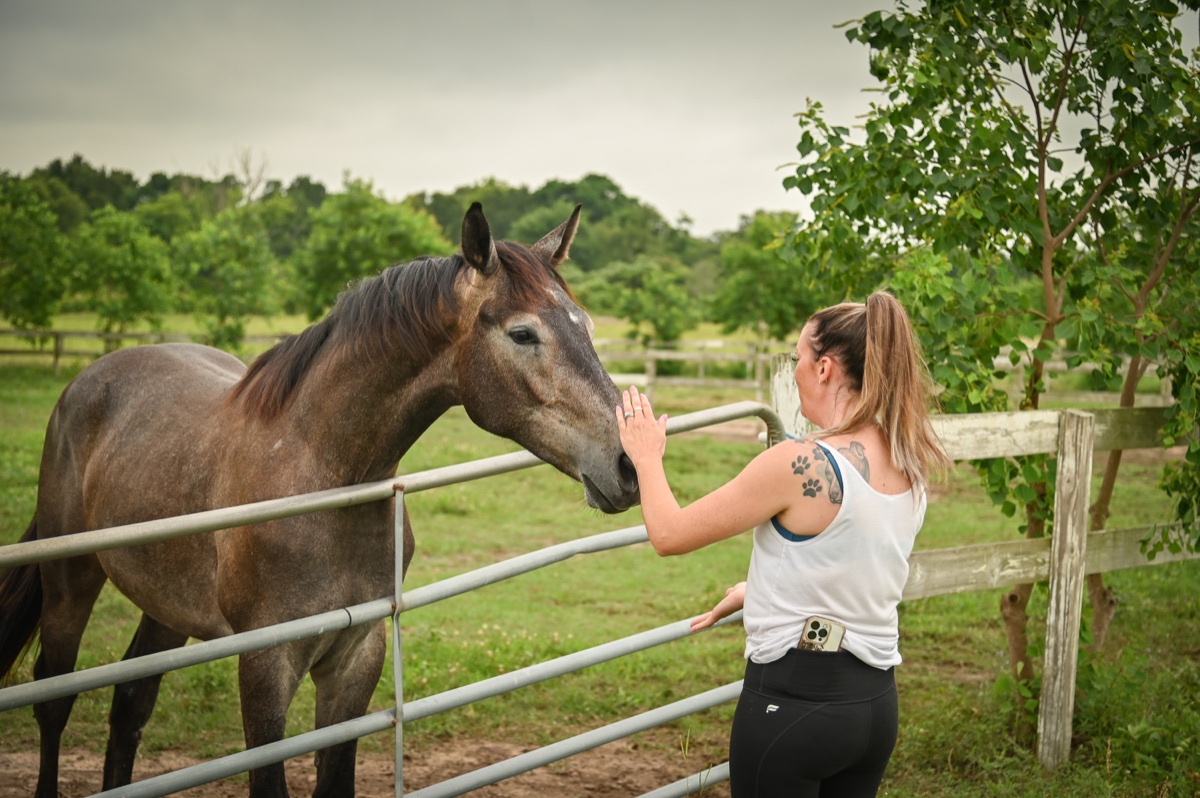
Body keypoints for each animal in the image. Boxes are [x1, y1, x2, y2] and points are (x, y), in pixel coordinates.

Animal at [0, 202, 640, 798]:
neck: (321, 476)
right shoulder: (267, 666)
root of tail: (88, 379)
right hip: (71, 580)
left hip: (165, 604)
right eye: (523, 333)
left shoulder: (355, 659)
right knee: (53, 698)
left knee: (131, 699)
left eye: (584, 324)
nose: (629, 465)